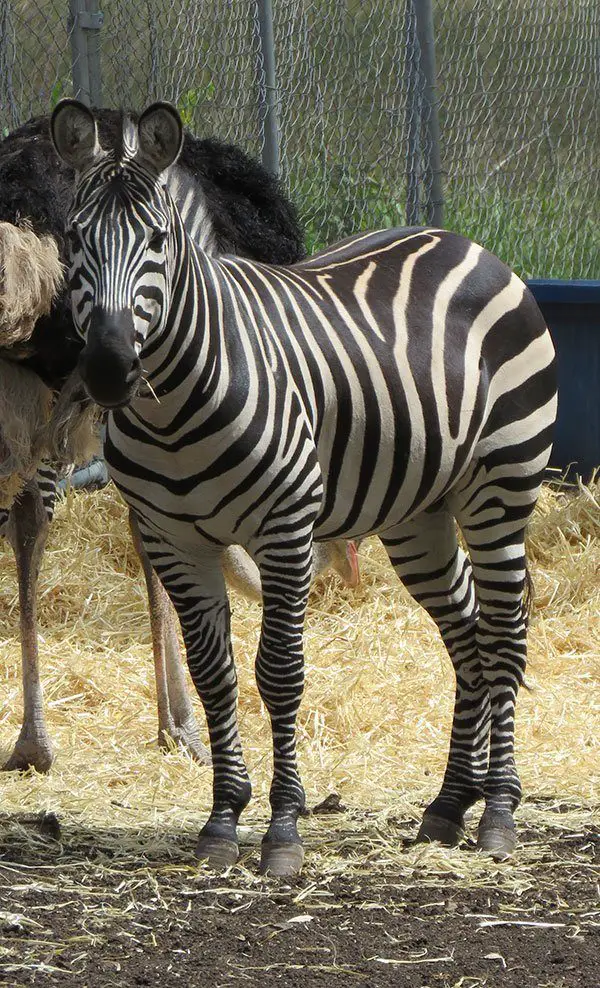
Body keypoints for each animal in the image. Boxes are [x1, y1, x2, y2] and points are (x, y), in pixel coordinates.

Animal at [51, 99, 558, 876]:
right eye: (76, 238)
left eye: (159, 240)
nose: (109, 370)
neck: (174, 412)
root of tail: (465, 244)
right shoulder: (173, 539)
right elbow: (215, 673)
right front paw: (223, 819)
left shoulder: (285, 529)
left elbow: (280, 673)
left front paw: (283, 828)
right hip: (418, 515)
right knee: (468, 632)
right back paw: (450, 804)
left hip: (501, 489)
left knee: (503, 633)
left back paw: (499, 809)